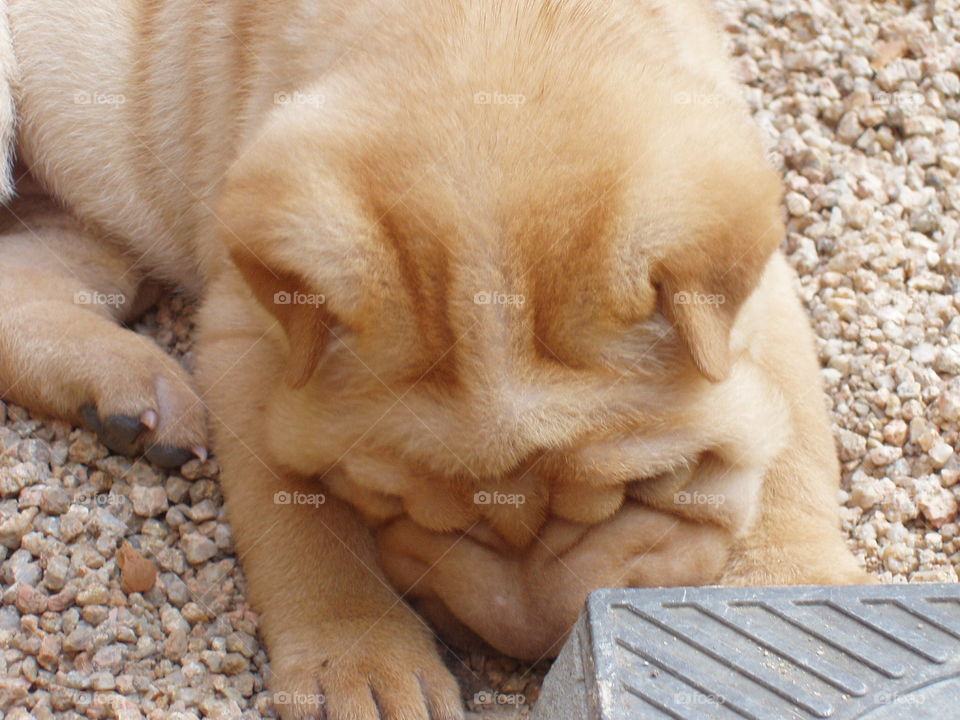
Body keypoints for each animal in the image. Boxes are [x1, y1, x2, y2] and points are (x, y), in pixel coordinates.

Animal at [0, 0, 872, 716]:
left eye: (644, 488)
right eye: (393, 501)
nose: (527, 645)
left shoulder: (767, 300)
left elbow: (794, 458)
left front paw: (791, 602)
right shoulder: (244, 340)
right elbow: (301, 519)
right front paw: (361, 664)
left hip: (89, 238)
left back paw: (127, 390)